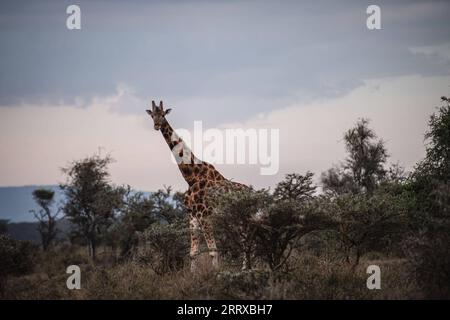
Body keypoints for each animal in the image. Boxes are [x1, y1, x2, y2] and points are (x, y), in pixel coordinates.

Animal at [147, 101, 248, 272]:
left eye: (163, 114)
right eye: (153, 115)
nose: (156, 125)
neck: (191, 177)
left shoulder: (204, 214)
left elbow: (213, 250)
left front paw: (216, 273)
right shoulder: (192, 215)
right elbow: (193, 253)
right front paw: (192, 275)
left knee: (247, 241)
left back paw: (246, 269)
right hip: (237, 218)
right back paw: (245, 268)